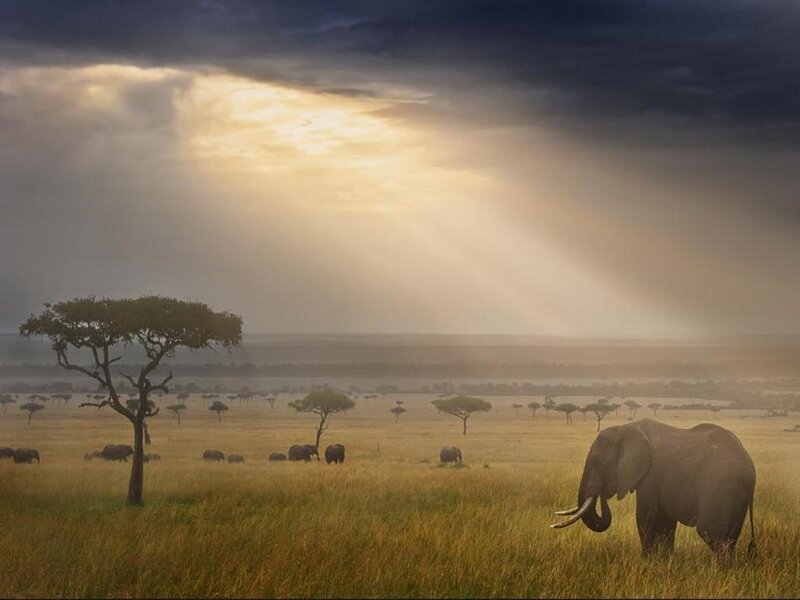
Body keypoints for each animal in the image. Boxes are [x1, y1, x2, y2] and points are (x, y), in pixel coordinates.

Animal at [551, 419, 756, 563]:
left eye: (598, 463)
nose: (603, 495)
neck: (625, 428)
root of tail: (750, 465)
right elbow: (665, 523)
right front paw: (664, 563)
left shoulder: (650, 475)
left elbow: (646, 518)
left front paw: (646, 562)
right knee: (731, 535)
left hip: (718, 486)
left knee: (710, 531)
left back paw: (718, 570)